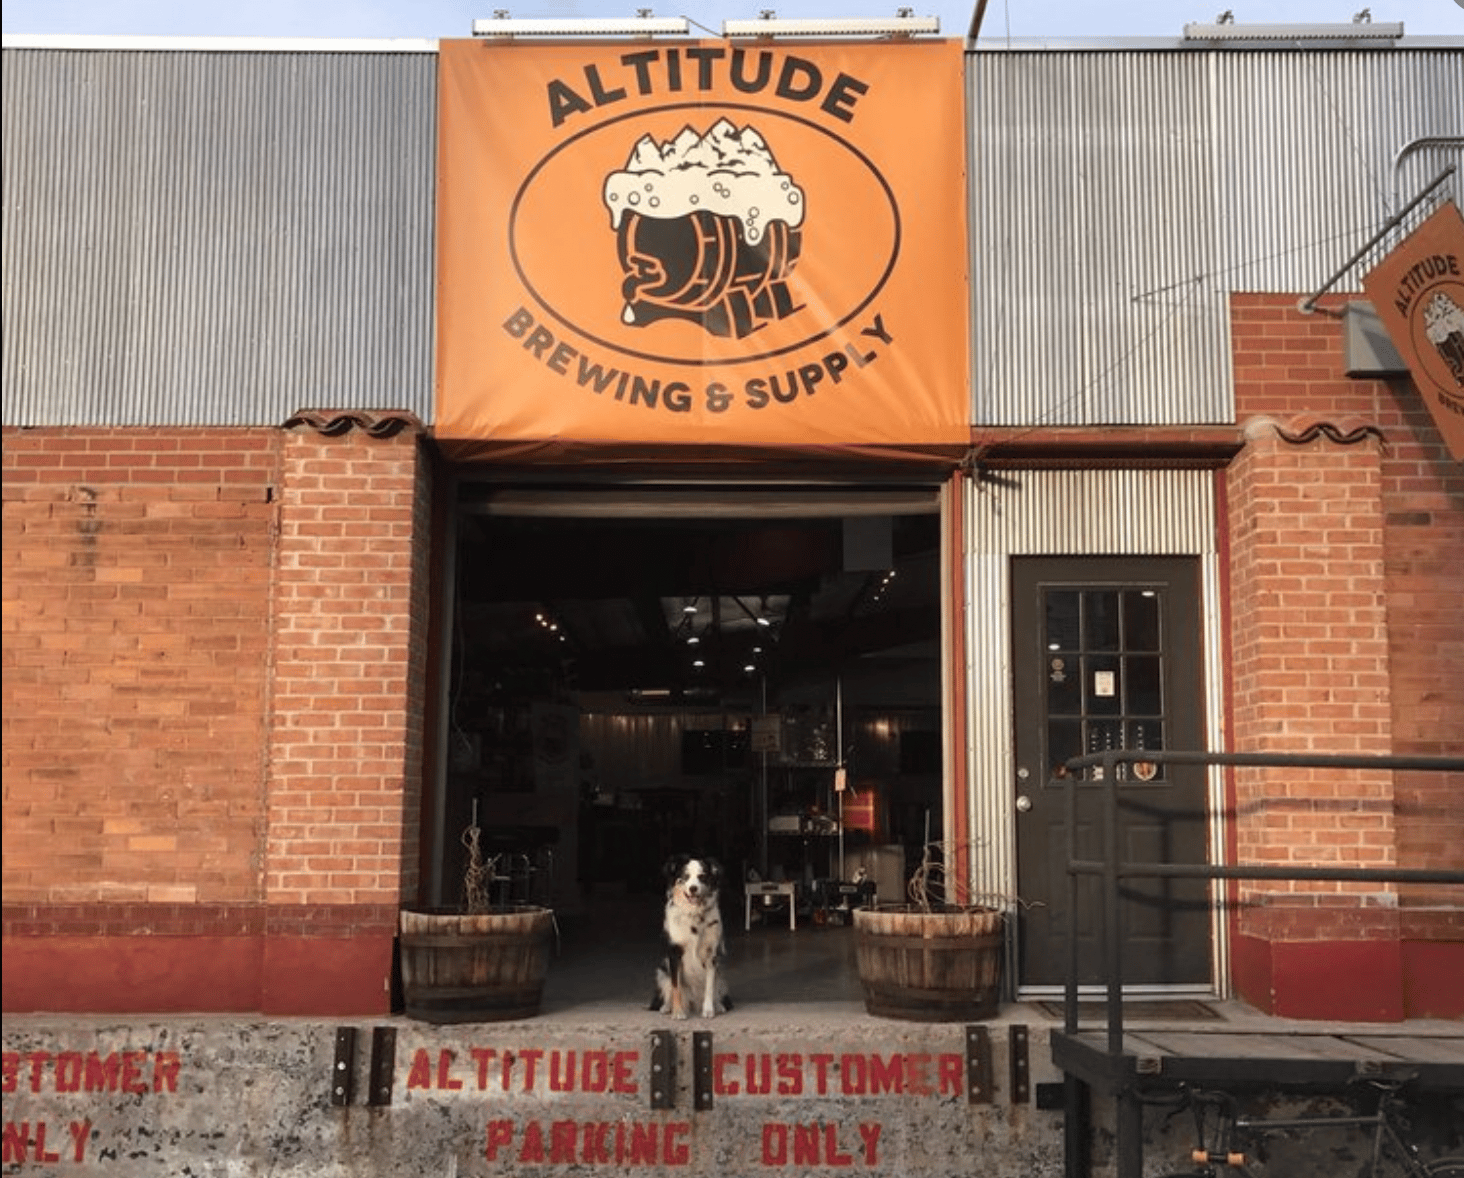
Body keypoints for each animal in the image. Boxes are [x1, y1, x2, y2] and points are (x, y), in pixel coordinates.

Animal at [652, 854, 732, 1018]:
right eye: (685, 876)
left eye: (702, 877)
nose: (693, 888)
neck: (694, 914)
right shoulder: (674, 953)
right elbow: (676, 986)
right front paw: (678, 1012)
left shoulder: (711, 955)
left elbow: (710, 986)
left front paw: (708, 1009)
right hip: (662, 971)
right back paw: (667, 1007)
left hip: (721, 973)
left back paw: (718, 1005)